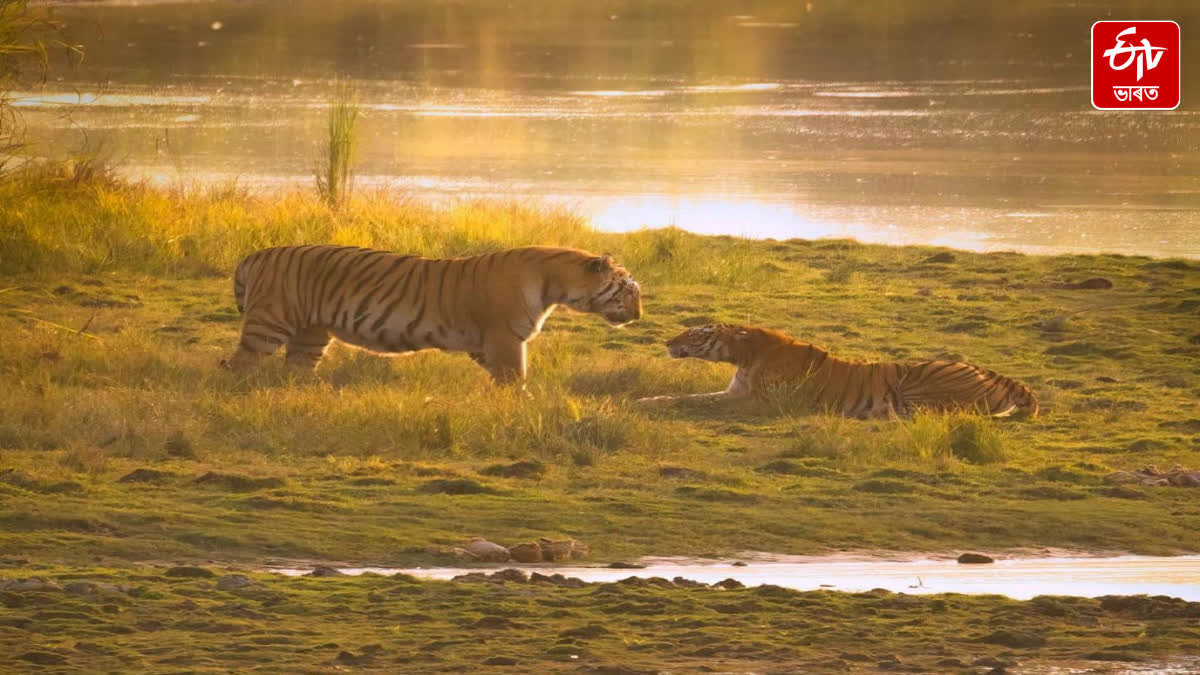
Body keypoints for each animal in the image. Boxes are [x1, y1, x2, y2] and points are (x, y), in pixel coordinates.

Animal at [223, 243, 638, 381]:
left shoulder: (485, 343)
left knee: (294, 370)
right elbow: (513, 377)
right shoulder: (504, 337)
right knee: (235, 366)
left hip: (310, 336)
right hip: (269, 324)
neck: (556, 284)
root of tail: (256, 254)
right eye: (628, 289)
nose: (640, 314)